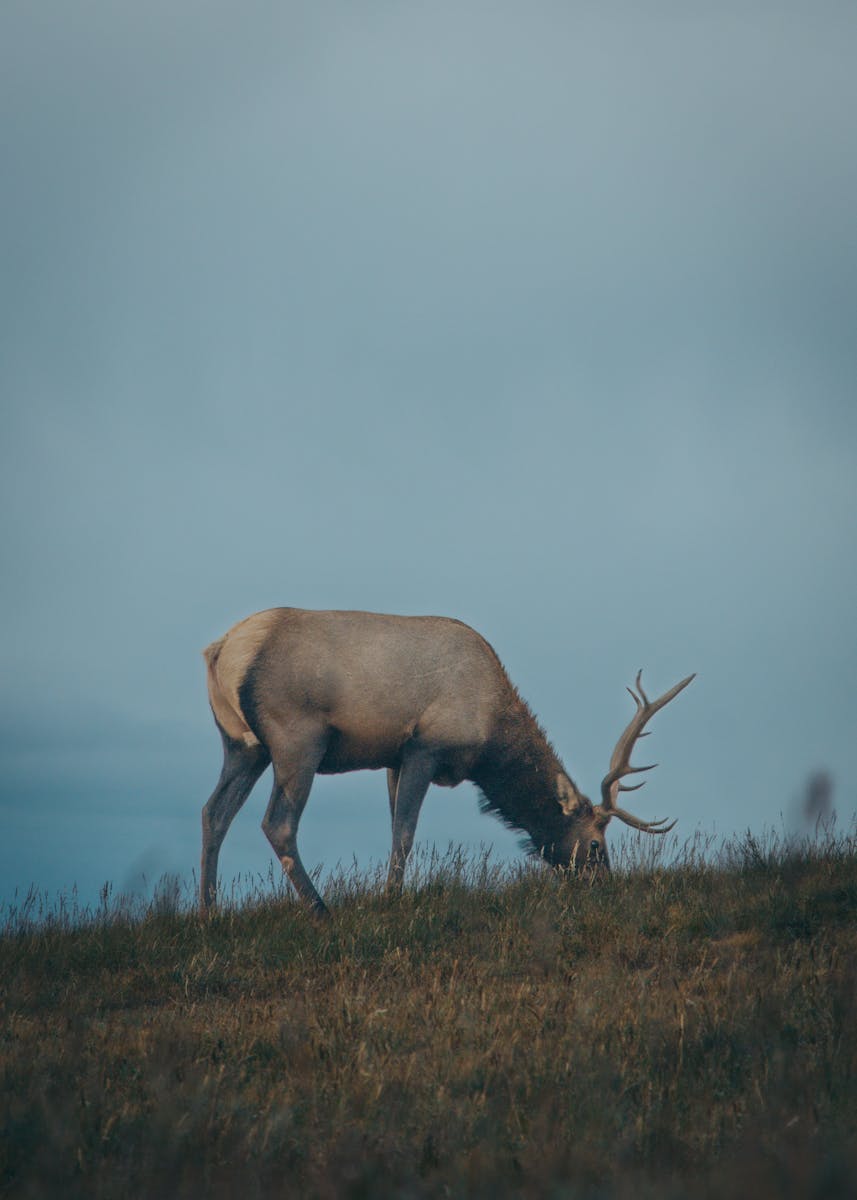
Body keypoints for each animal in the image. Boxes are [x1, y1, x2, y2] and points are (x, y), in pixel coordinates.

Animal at [200, 607, 694, 915]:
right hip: (297, 738)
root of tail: (220, 651)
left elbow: (394, 826)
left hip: (241, 744)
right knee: (278, 823)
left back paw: (208, 910)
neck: (489, 735)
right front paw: (391, 899)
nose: (605, 885)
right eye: (594, 844)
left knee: (214, 812)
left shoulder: (393, 758)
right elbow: (404, 832)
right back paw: (320, 908)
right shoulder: (425, 745)